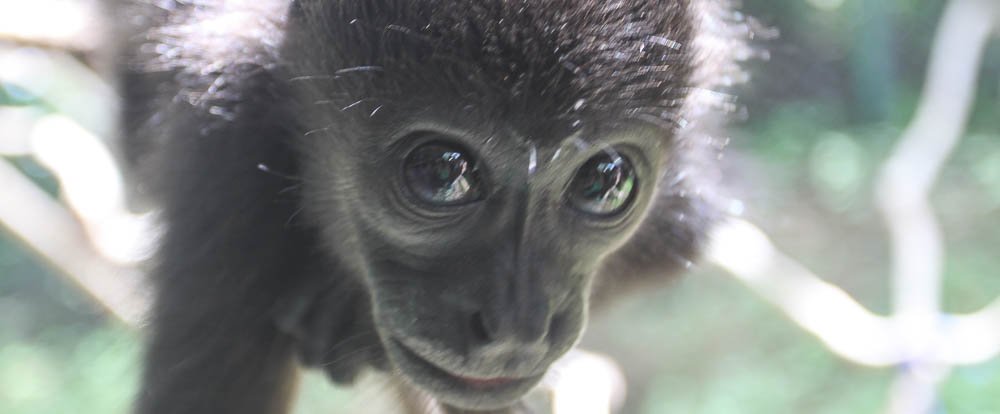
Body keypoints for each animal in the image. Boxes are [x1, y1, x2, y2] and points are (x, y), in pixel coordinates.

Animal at [113, 0, 748, 414]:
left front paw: (347, 312)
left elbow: (682, 235)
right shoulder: (226, 148)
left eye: (603, 182)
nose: (517, 328)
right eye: (442, 174)